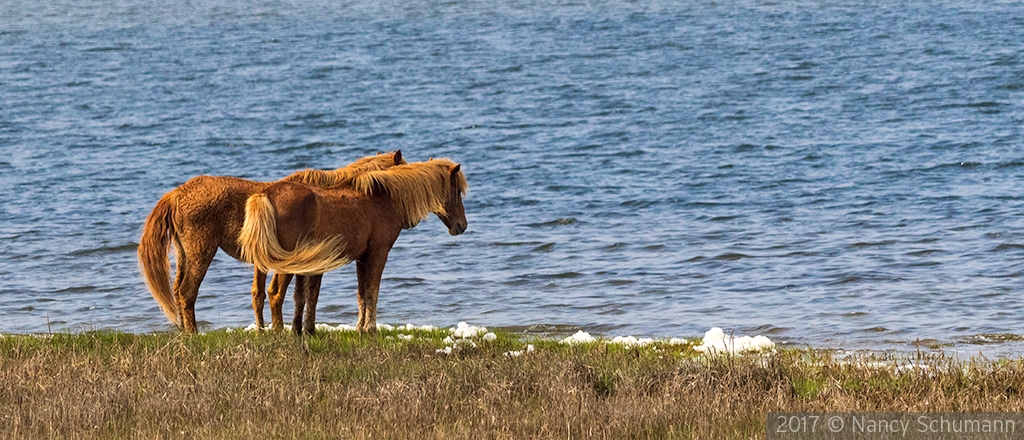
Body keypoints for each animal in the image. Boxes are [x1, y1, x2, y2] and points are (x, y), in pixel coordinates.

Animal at [140, 149, 403, 331]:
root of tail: (176, 194)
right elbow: (306, 295)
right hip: (201, 252)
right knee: (187, 292)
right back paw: (193, 334)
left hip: (184, 254)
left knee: (177, 291)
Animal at [237, 158, 466, 333]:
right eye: (456, 190)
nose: (461, 226)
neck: (383, 199)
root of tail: (266, 194)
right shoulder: (378, 253)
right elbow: (372, 290)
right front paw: (371, 329)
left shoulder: (362, 258)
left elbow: (361, 293)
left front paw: (360, 328)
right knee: (275, 293)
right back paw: (279, 332)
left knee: (263, 293)